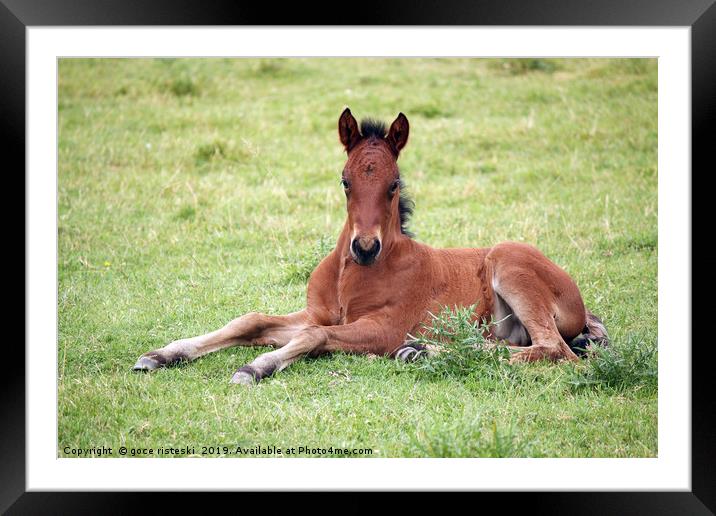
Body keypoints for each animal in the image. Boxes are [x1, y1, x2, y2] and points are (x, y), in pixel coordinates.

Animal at [131, 108, 608, 382]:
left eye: (394, 184)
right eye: (344, 181)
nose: (363, 247)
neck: (351, 276)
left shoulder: (382, 328)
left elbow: (313, 337)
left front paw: (256, 366)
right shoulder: (319, 312)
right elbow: (251, 321)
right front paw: (162, 354)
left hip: (510, 264)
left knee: (556, 351)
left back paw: (422, 351)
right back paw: (419, 352)